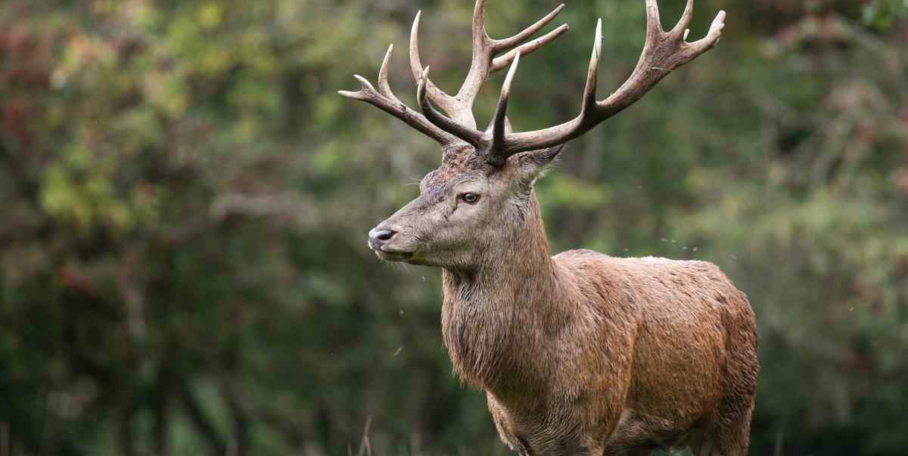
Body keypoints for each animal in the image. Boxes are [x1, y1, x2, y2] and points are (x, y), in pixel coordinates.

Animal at [340, 0, 758, 454]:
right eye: (425, 182)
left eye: (469, 196)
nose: (380, 234)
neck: (535, 384)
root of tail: (731, 286)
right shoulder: (516, 436)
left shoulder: (592, 428)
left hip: (735, 410)